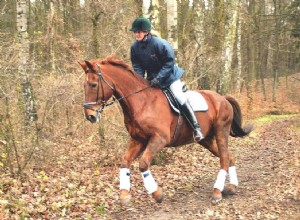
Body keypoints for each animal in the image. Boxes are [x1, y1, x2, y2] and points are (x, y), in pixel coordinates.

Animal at [78, 55, 252, 205]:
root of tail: (223, 98)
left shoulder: (159, 139)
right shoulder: (138, 139)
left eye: (93, 85)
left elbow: (143, 163)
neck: (142, 102)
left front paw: (156, 193)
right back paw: (231, 187)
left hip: (221, 131)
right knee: (229, 157)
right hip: (206, 140)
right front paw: (124, 195)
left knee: (224, 159)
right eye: (84, 86)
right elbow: (125, 162)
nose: (90, 116)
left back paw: (217, 192)